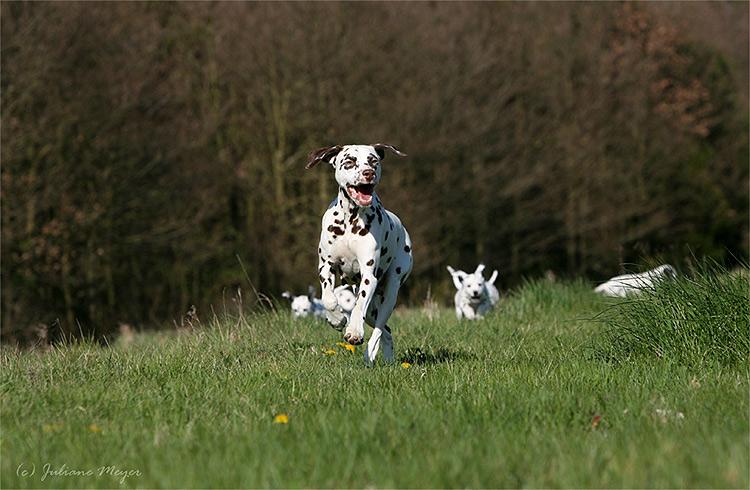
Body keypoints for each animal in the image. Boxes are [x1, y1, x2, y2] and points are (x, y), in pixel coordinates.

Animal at [306, 142, 418, 364]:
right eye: (349, 161)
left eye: (373, 161)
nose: (369, 173)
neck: (350, 219)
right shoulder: (325, 267)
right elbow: (328, 299)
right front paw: (337, 319)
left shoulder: (369, 277)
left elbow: (358, 307)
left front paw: (354, 331)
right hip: (374, 308)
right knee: (386, 331)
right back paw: (386, 359)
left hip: (389, 295)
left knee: (378, 329)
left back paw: (369, 354)